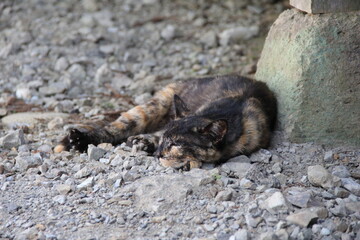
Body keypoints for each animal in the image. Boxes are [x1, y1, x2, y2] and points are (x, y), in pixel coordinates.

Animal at [54, 74, 278, 170]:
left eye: (176, 144)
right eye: (165, 140)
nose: (158, 154)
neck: (231, 111)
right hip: (151, 107)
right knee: (114, 129)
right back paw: (79, 140)